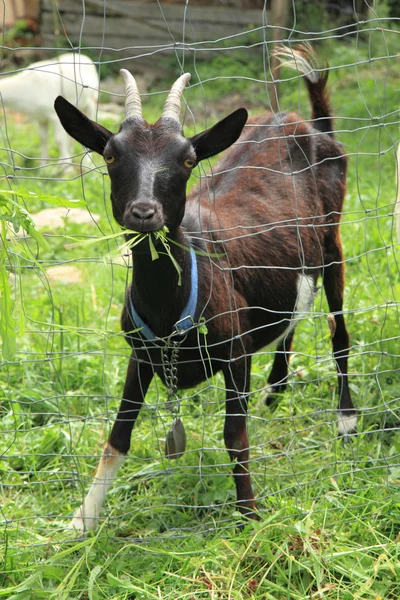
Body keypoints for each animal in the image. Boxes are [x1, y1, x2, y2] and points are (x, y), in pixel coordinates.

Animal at [54, 44, 356, 528]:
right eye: (111, 156)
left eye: (187, 159)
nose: (144, 212)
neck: (171, 303)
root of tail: (311, 123)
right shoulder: (141, 354)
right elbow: (117, 437)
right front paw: (81, 522)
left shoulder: (235, 354)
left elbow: (235, 435)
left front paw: (249, 515)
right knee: (293, 312)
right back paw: (275, 392)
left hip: (333, 241)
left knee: (338, 330)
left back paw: (346, 421)